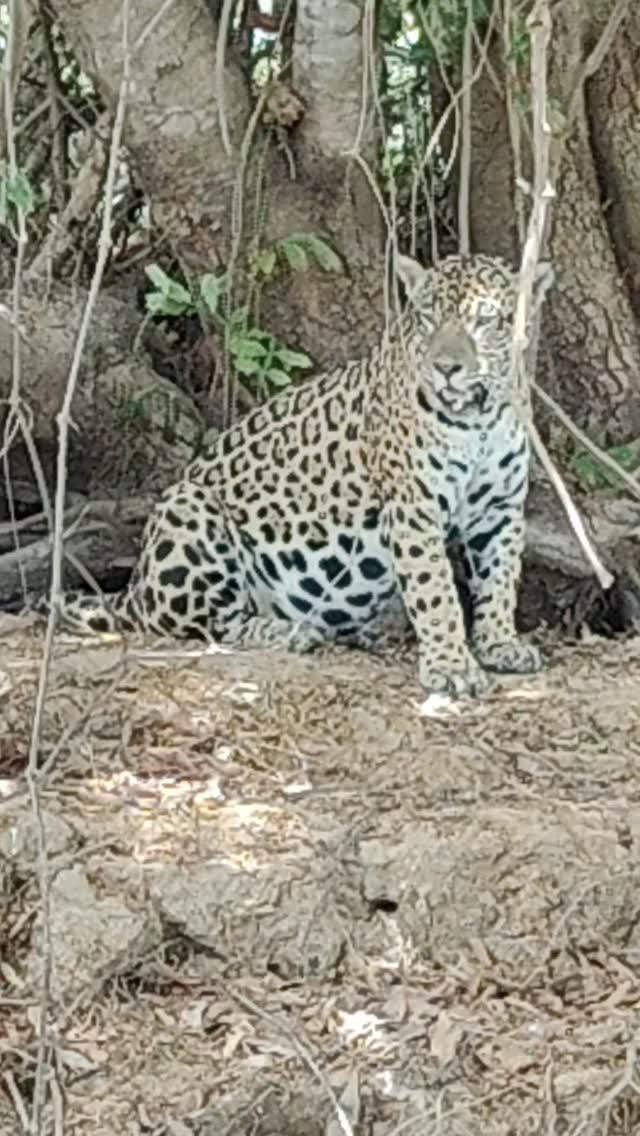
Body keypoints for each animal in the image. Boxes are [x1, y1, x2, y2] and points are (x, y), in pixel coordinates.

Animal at [47, 252, 554, 698]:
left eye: (486, 320)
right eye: (428, 316)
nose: (446, 368)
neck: (479, 417)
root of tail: (135, 587)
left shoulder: (500, 509)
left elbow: (500, 579)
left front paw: (499, 643)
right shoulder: (414, 508)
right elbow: (435, 590)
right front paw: (451, 665)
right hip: (189, 509)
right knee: (203, 623)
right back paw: (290, 631)